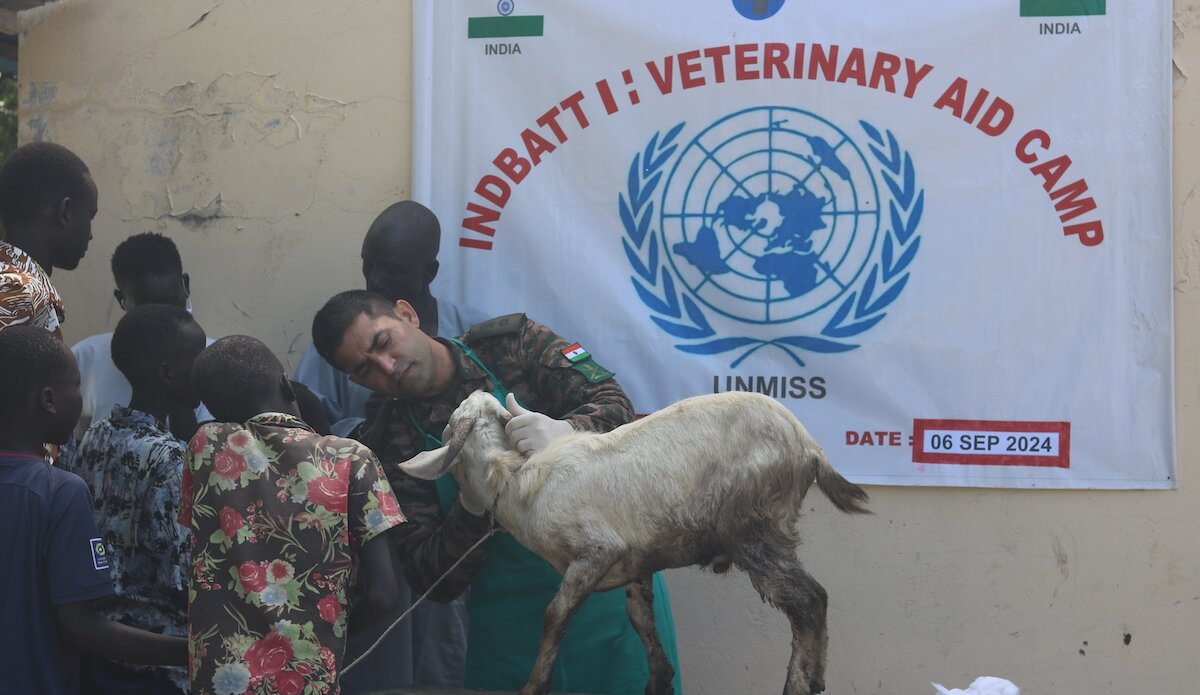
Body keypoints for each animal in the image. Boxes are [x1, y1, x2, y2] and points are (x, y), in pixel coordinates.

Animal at [398, 391, 868, 695]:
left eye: (448, 422)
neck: (513, 478)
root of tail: (809, 446)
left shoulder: (596, 550)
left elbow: (555, 615)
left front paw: (533, 685)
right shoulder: (637, 562)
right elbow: (640, 618)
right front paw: (659, 681)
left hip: (754, 527)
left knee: (807, 600)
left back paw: (799, 684)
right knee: (816, 598)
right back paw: (818, 677)